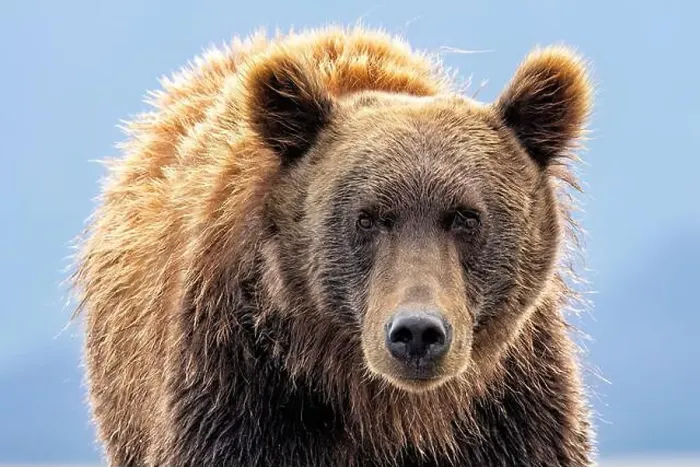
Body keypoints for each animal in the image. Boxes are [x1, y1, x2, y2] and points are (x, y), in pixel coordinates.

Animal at [71, 25, 595, 466]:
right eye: (367, 218)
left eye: (467, 217)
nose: (417, 333)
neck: (393, 413)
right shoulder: (240, 393)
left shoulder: (512, 411)